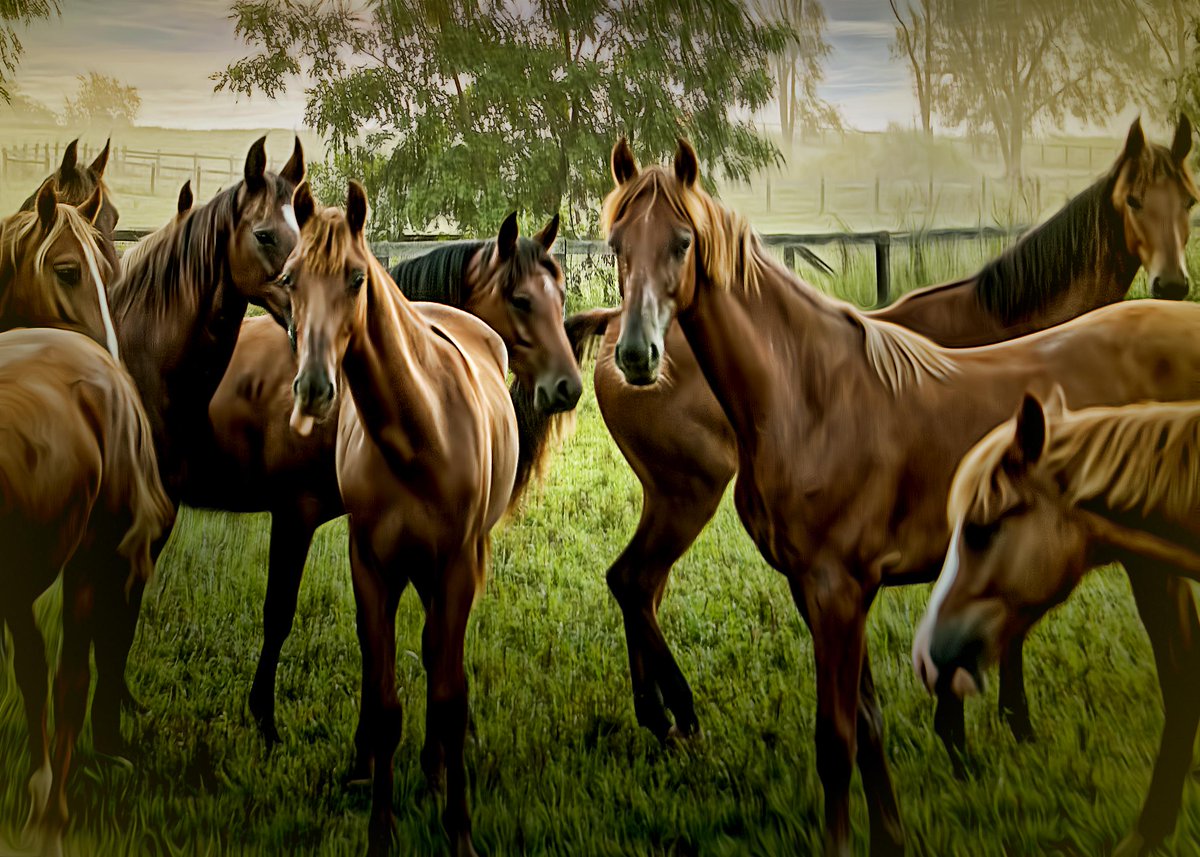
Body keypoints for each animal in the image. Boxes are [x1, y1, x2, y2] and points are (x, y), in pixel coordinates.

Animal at [0, 185, 172, 857]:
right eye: (68, 270)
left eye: (112, 267)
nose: (116, 357)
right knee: (40, 669)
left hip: (86, 559)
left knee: (70, 674)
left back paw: (51, 812)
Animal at [198, 211, 580, 746]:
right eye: (520, 299)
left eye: (560, 295)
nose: (566, 387)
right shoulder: (295, 515)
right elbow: (279, 614)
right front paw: (265, 722)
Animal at [286, 180, 517, 857]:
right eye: (288, 279)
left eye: (356, 277)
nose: (313, 388)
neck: (420, 432)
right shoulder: (371, 566)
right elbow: (388, 701)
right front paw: (381, 832)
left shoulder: (457, 565)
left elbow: (448, 693)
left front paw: (459, 829)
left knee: (441, 657)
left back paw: (439, 770)